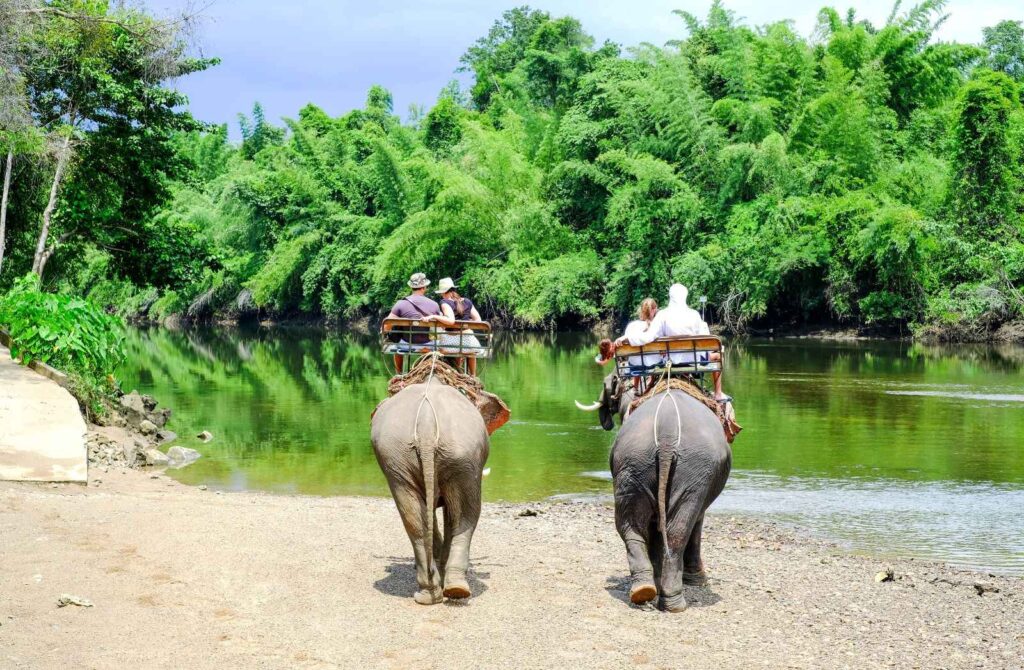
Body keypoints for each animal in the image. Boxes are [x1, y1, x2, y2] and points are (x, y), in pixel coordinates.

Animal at [372, 381, 491, 606]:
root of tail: (426, 425)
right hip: (458, 455)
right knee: (466, 514)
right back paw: (452, 588)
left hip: (400, 458)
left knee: (415, 519)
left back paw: (435, 591)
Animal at [577, 372, 729, 614]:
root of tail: (667, 436)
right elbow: (697, 520)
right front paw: (697, 580)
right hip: (693, 471)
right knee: (678, 529)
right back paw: (673, 602)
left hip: (634, 464)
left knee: (633, 525)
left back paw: (645, 591)